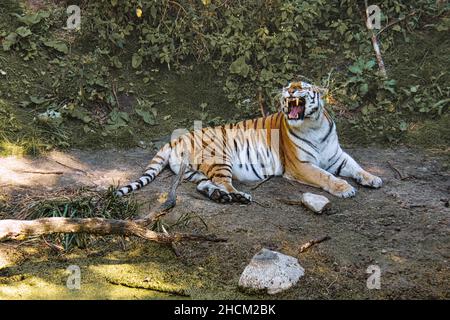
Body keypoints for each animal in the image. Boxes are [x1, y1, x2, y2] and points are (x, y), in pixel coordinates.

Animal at [117, 81, 384, 204]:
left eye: (302, 87)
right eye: (288, 86)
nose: (289, 91)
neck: (313, 125)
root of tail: (178, 137)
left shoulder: (338, 156)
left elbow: (357, 166)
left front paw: (373, 178)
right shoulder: (301, 165)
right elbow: (325, 176)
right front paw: (345, 188)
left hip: (194, 172)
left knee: (205, 185)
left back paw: (220, 197)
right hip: (219, 157)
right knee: (225, 183)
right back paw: (240, 196)